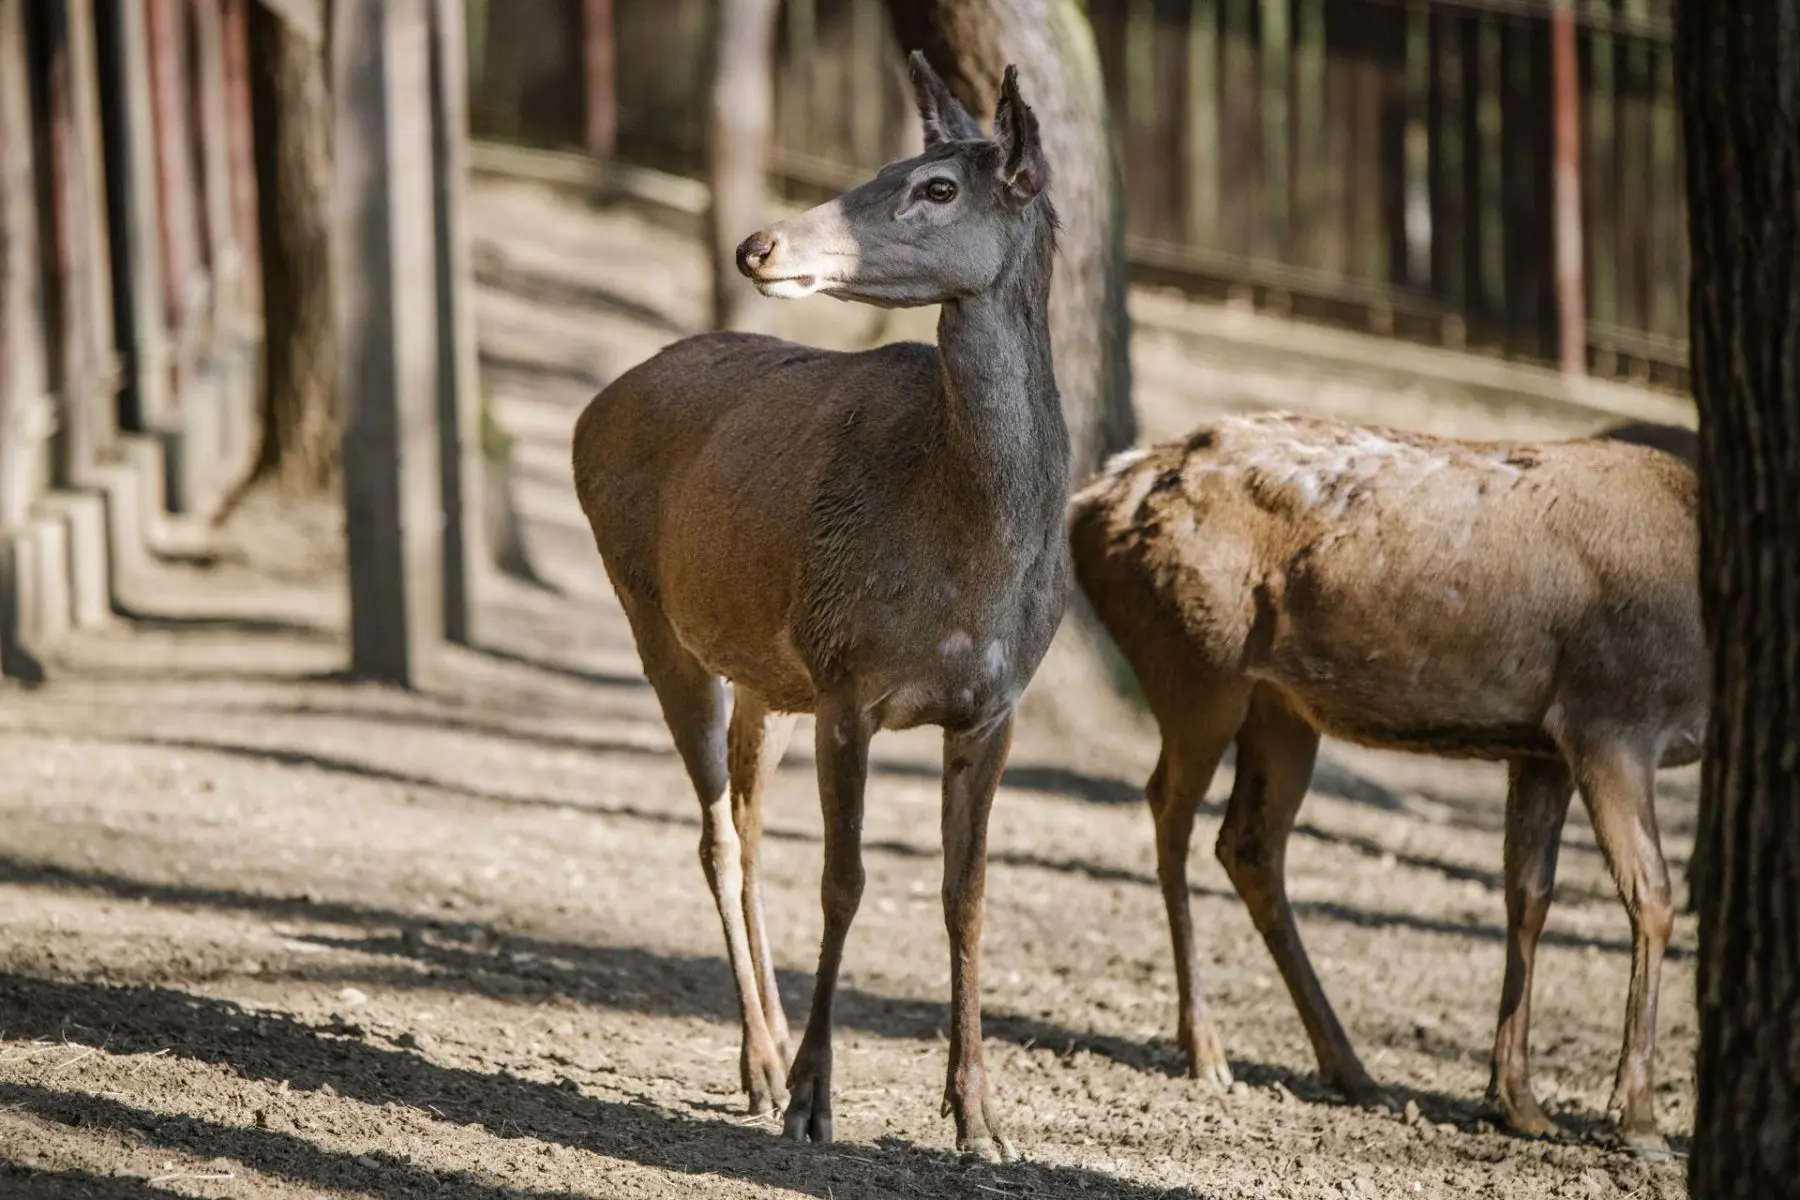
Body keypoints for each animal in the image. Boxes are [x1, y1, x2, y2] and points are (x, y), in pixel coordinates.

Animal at [571, 55, 1066, 1161]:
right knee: (718, 838)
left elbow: (967, 896)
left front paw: (980, 1119)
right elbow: (845, 882)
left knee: (751, 832)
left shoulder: (995, 707)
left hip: (770, 675)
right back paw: (763, 1064)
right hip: (653, 616)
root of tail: (594, 404)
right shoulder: (849, 679)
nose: (758, 243)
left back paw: (761, 1058)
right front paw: (813, 1099)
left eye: (937, 185)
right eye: (882, 164)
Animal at [1067, 412, 1703, 1159]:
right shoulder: (1612, 717)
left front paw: (1518, 1102)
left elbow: (1527, 896)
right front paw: (1638, 1120)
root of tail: (1087, 505)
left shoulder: (1540, 745)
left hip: (1279, 709)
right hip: (1198, 669)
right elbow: (1651, 897)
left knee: (1248, 842)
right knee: (1168, 809)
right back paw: (1207, 1049)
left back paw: (1352, 1070)